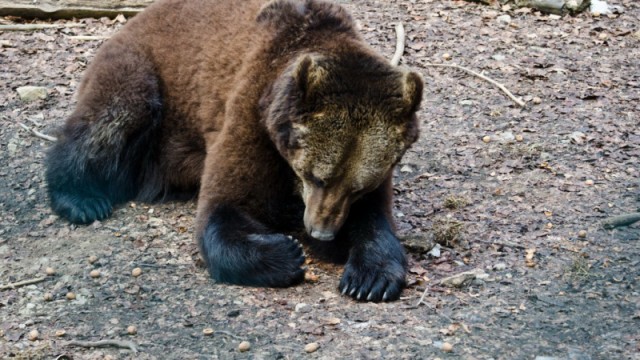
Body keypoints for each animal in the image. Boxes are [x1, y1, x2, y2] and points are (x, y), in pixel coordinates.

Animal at [46, 0, 424, 300]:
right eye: (315, 176)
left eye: (358, 188)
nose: (321, 231)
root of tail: (137, 17)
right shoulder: (249, 114)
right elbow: (224, 206)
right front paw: (287, 254)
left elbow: (374, 220)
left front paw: (369, 278)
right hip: (145, 72)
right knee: (115, 114)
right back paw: (81, 199)